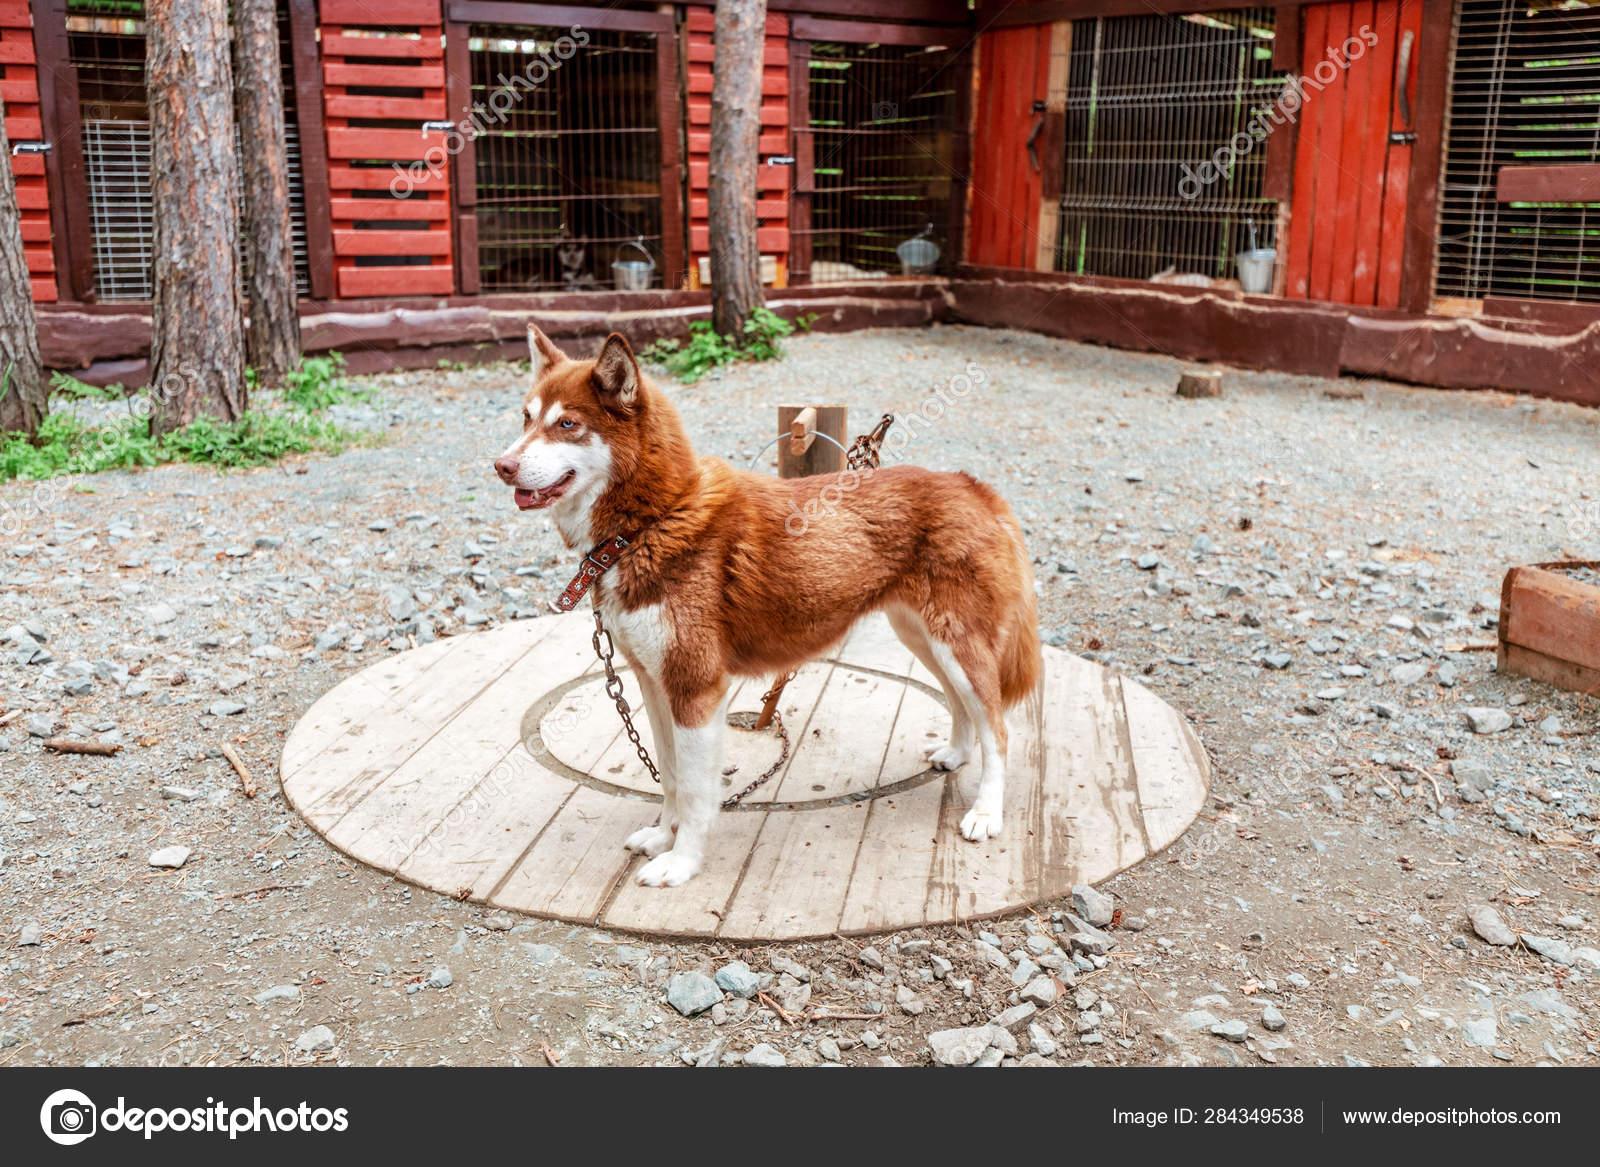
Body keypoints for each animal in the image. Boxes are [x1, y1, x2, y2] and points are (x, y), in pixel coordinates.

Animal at [499, 320, 1049, 883]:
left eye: (567, 423)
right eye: (526, 417)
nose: (503, 465)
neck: (650, 522)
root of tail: (972, 486)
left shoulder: (695, 689)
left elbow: (694, 791)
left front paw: (682, 862)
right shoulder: (653, 684)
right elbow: (669, 776)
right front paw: (662, 837)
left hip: (956, 646)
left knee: (999, 729)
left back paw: (986, 813)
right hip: (922, 639)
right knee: (964, 706)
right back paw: (956, 753)